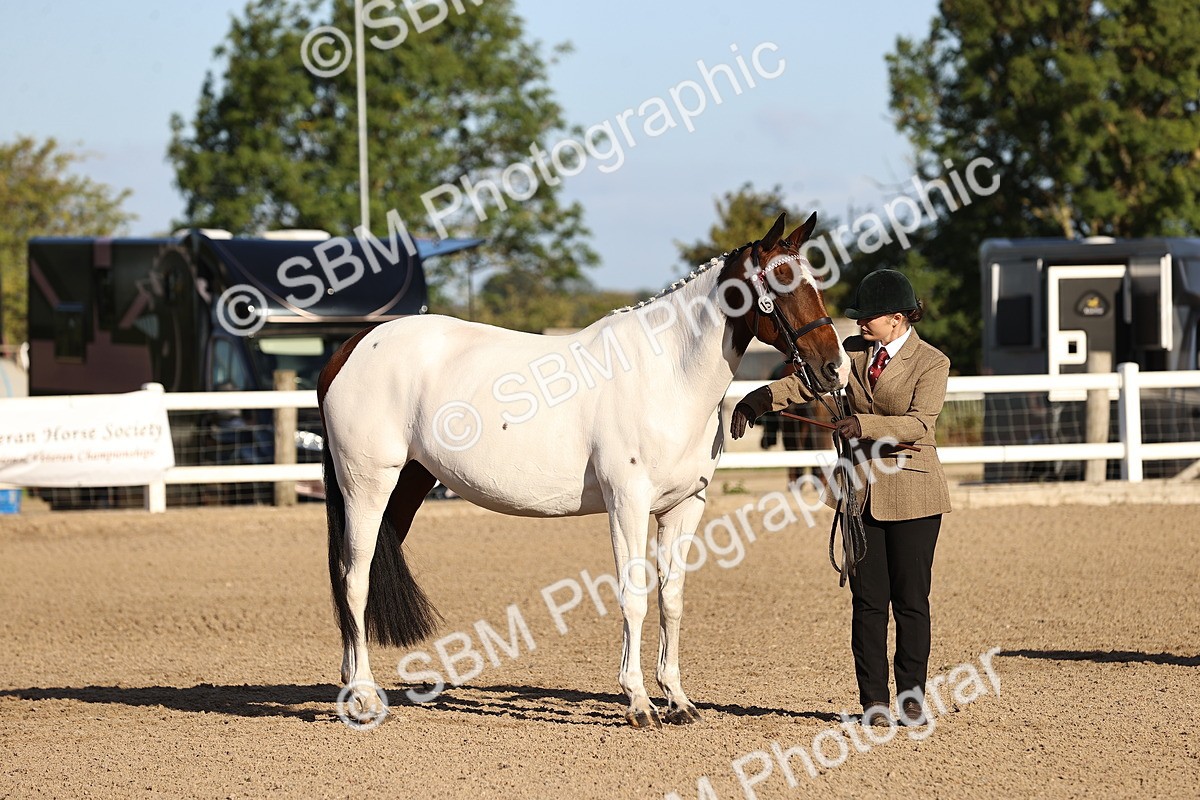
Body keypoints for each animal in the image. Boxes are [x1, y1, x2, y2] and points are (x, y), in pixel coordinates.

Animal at [318, 212, 849, 728]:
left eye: (814, 281)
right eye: (781, 281)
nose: (835, 369)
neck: (666, 375)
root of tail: (352, 347)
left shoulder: (684, 507)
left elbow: (672, 597)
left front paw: (677, 700)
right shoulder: (627, 502)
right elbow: (634, 595)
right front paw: (638, 702)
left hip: (407, 484)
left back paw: (351, 685)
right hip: (367, 485)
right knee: (354, 578)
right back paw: (363, 696)